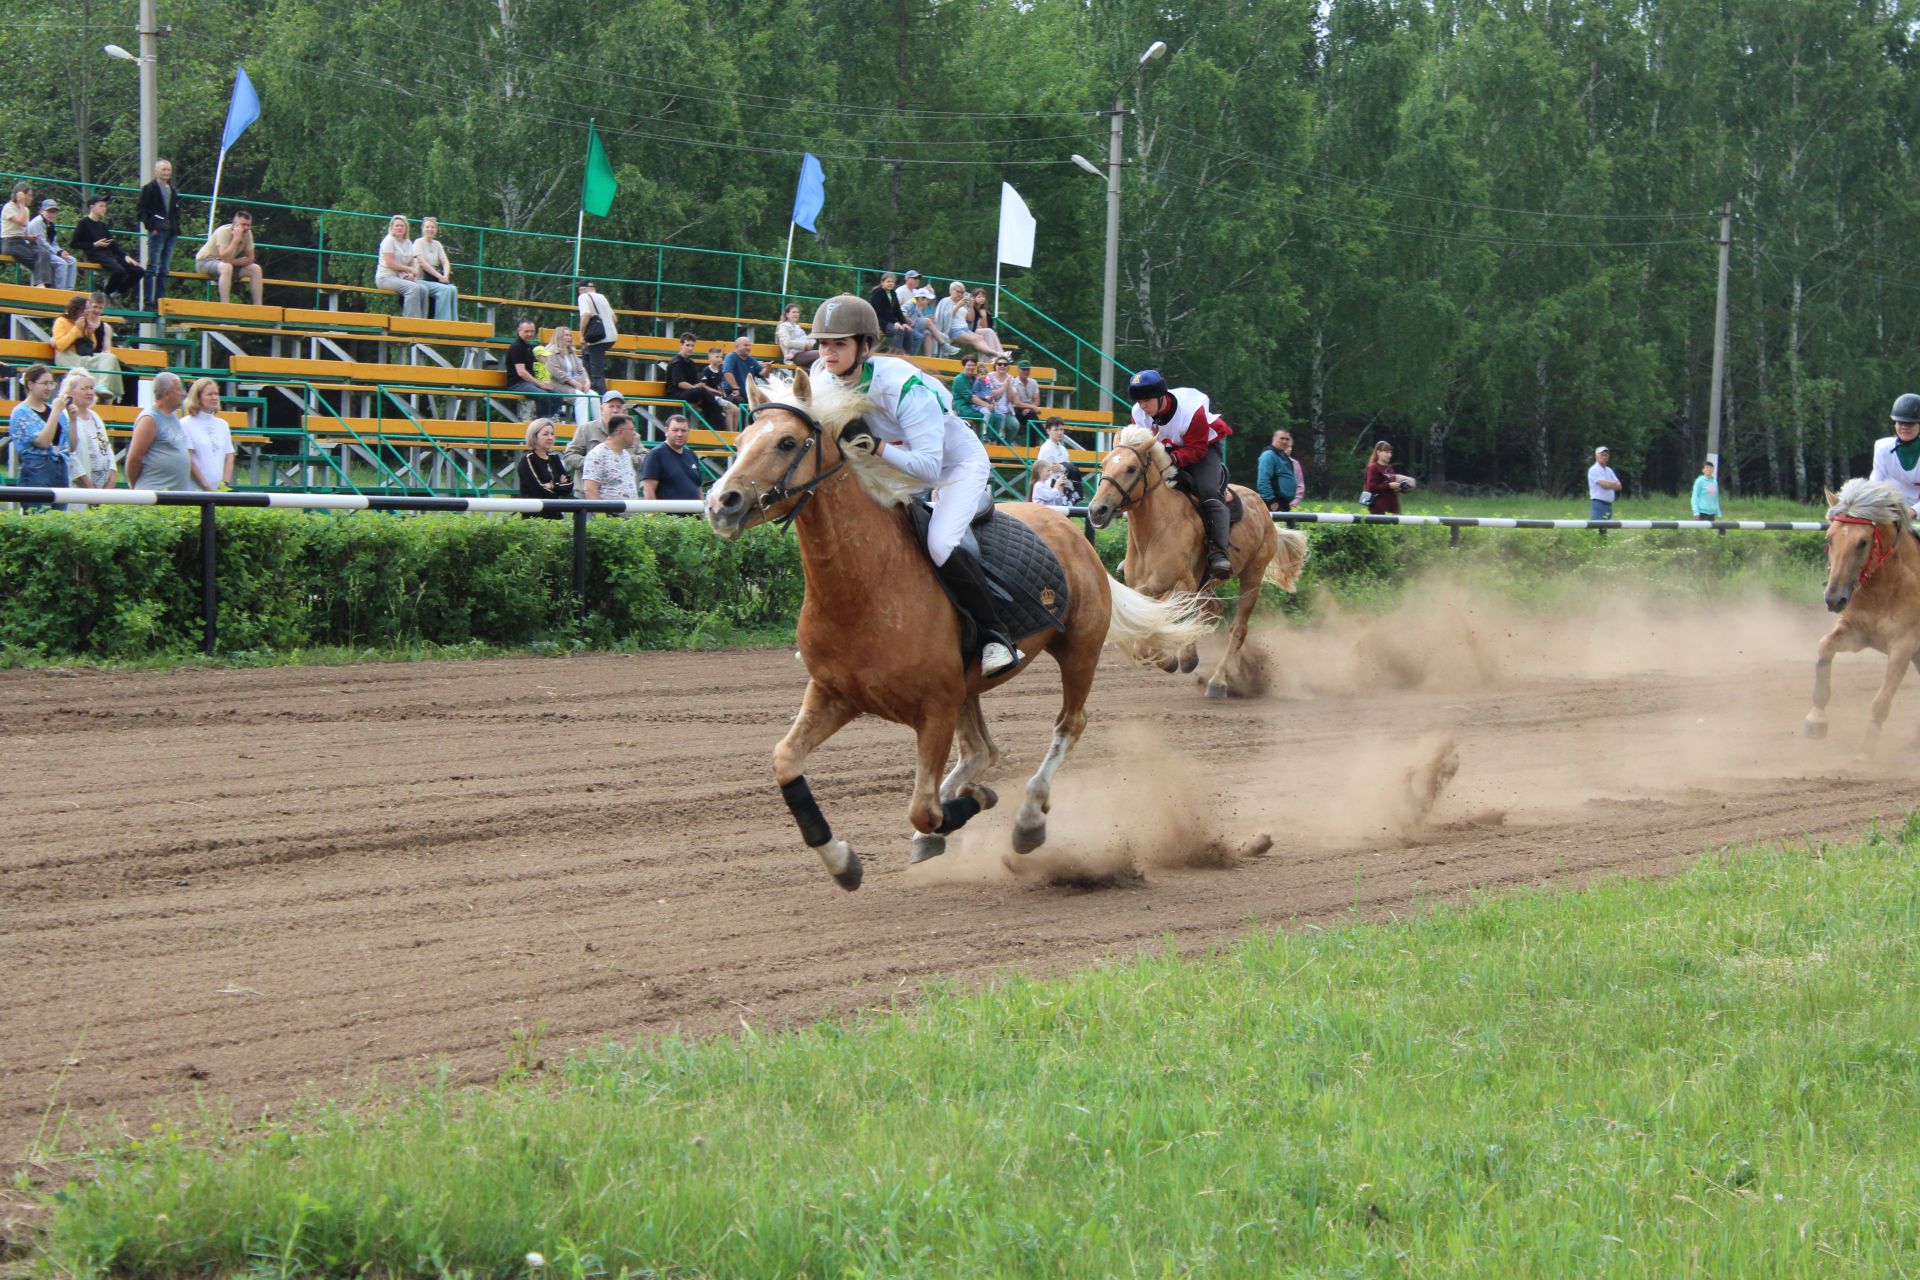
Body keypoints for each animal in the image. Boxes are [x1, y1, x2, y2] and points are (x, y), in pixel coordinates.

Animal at [706, 370, 1213, 890]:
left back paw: (1028, 820)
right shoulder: (835, 693)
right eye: (740, 441)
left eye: (787, 442)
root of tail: (1073, 533)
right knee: (981, 750)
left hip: (1078, 651)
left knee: (1068, 725)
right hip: (970, 685)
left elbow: (924, 809)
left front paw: (974, 805)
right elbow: (785, 761)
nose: (721, 502)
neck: (864, 584)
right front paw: (842, 861)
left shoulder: (935, 709)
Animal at [1090, 426, 1313, 694]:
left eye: (1131, 468)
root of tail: (1264, 509)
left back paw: (1217, 680)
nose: (1097, 510)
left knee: (1238, 629)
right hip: (1206, 584)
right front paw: (1173, 657)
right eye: (1103, 465)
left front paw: (1170, 659)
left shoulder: (1181, 587)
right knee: (1213, 609)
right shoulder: (1147, 589)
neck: (1155, 532)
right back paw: (1190, 658)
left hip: (1252, 577)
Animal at [1797, 479, 1920, 752]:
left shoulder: (1903, 647)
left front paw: (1865, 752)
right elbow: (1824, 648)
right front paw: (1815, 719)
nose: (1834, 598)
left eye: (1862, 542)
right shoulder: (1855, 634)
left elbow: (1881, 702)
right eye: (1829, 538)